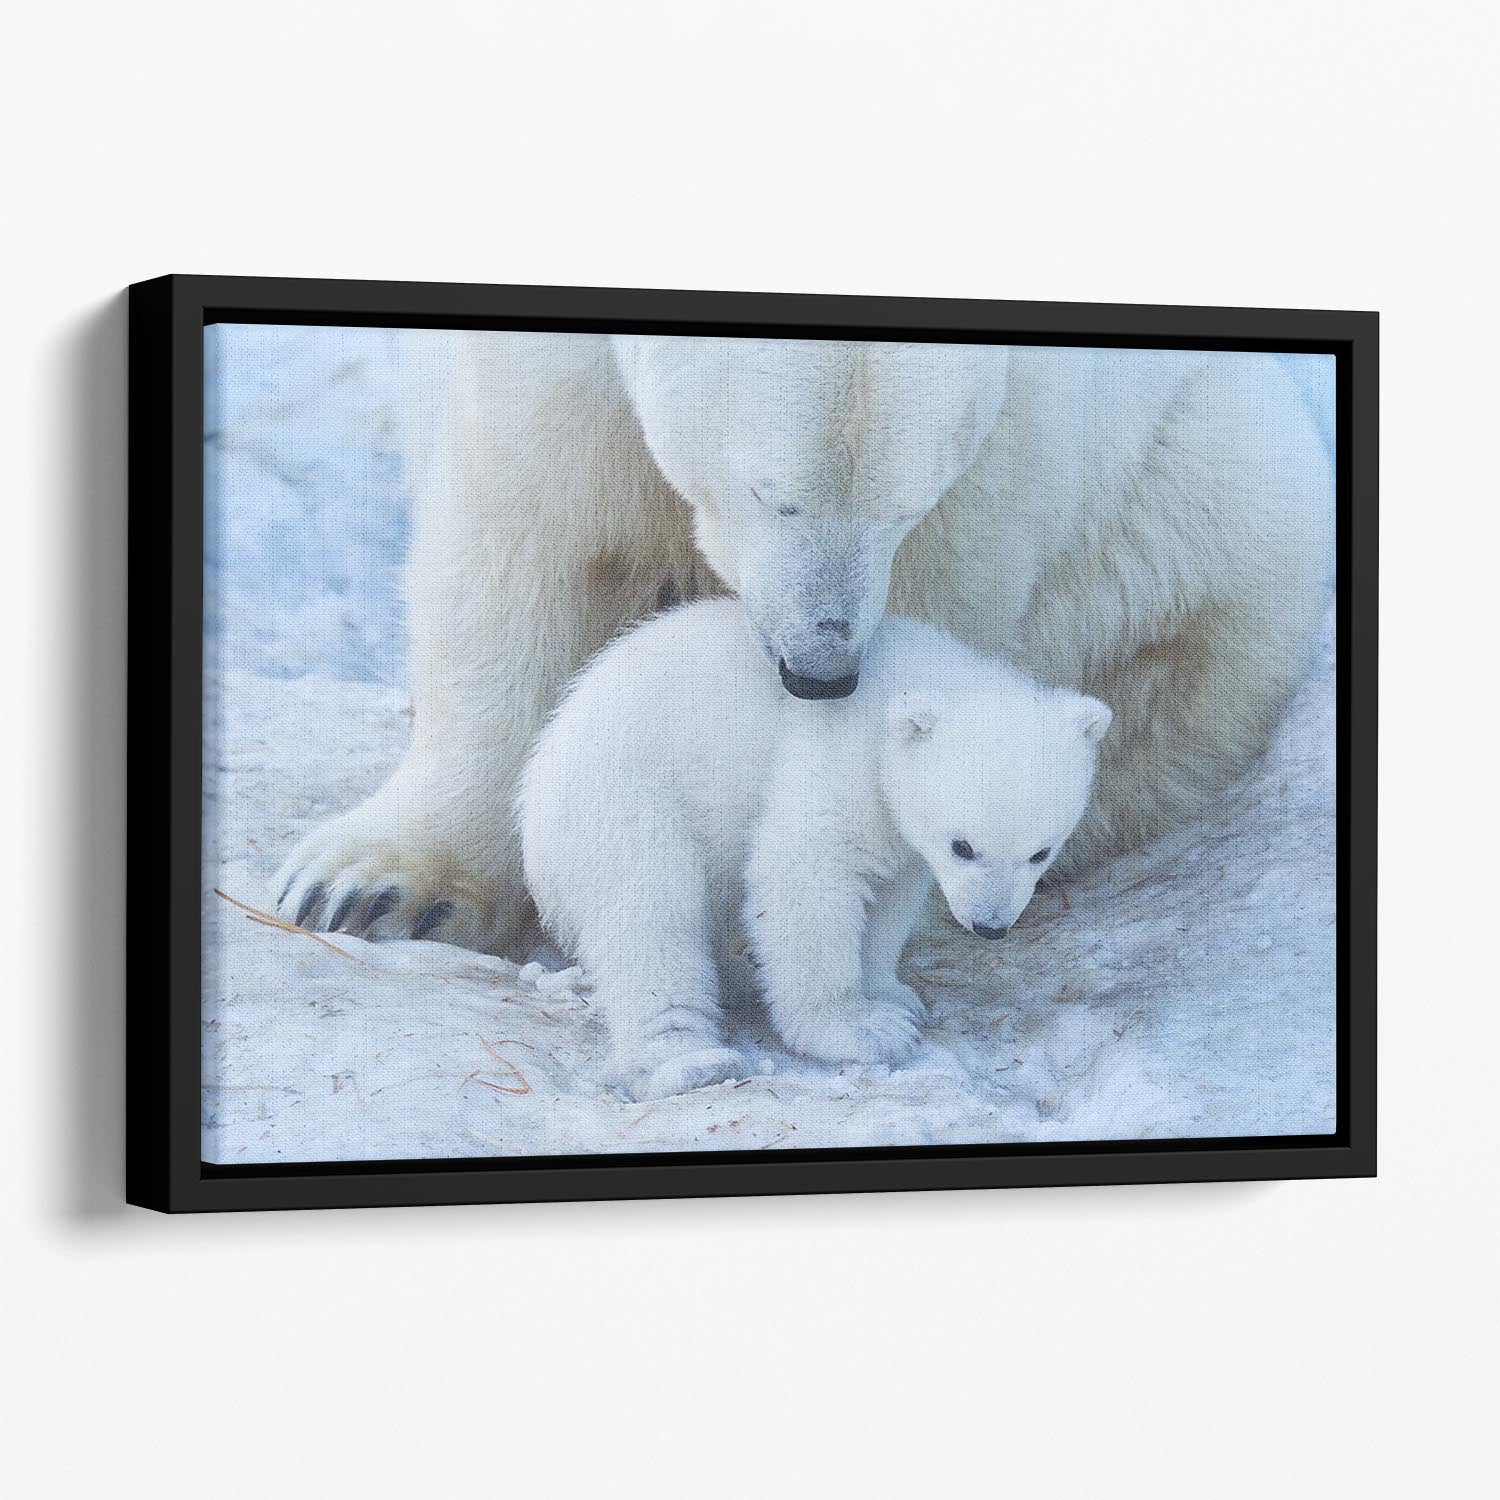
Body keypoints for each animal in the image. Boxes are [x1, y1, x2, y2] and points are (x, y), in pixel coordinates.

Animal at [273, 333, 1331, 956]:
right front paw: (371, 887)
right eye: (771, 493)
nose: (819, 670)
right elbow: (521, 542)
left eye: (904, 505)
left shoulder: (1007, 451)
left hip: (1209, 496)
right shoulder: (551, 379)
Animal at [519, 598, 1112, 1100]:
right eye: (962, 846)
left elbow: (889, 897)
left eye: (1041, 852)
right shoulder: (836, 761)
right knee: (651, 922)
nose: (990, 926)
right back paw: (690, 1061)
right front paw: (861, 1029)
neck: (912, 684)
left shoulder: (899, 829)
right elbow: (805, 880)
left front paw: (892, 996)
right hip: (629, 801)